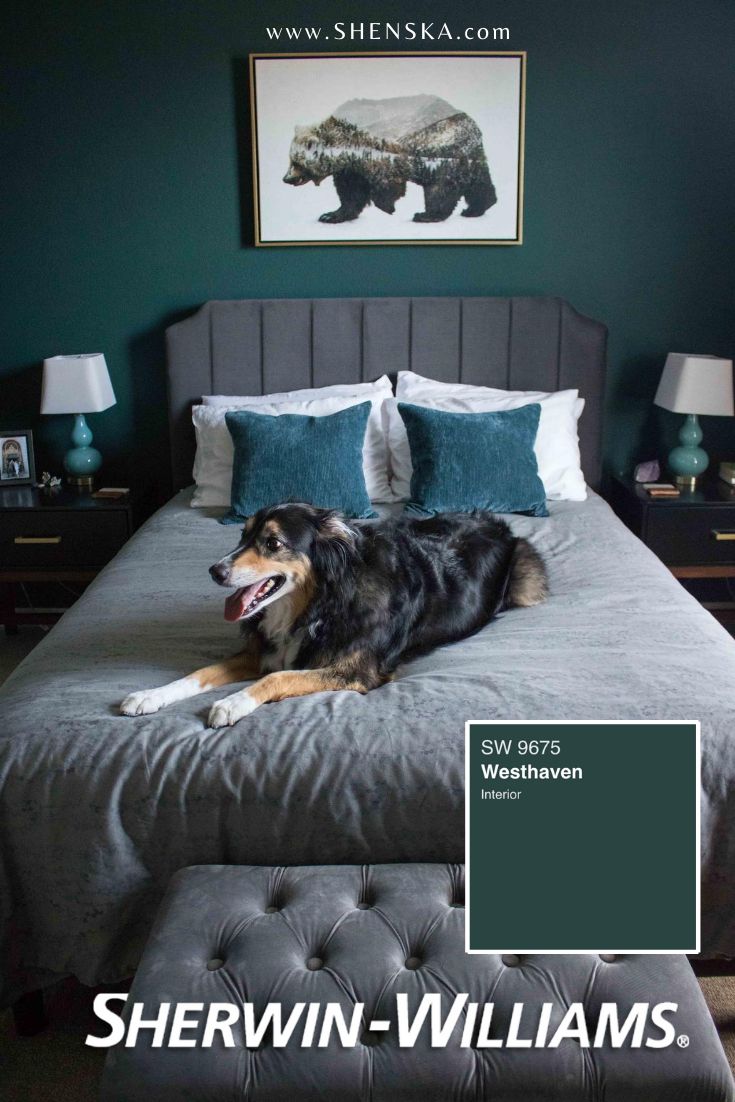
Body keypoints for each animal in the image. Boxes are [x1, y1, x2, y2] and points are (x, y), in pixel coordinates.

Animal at [120, 504, 546, 727]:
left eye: (272, 543)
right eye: (241, 536)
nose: (214, 571)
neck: (319, 603)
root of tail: (496, 522)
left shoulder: (353, 672)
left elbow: (278, 678)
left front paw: (233, 703)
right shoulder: (263, 651)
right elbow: (199, 673)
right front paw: (149, 695)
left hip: (526, 583)